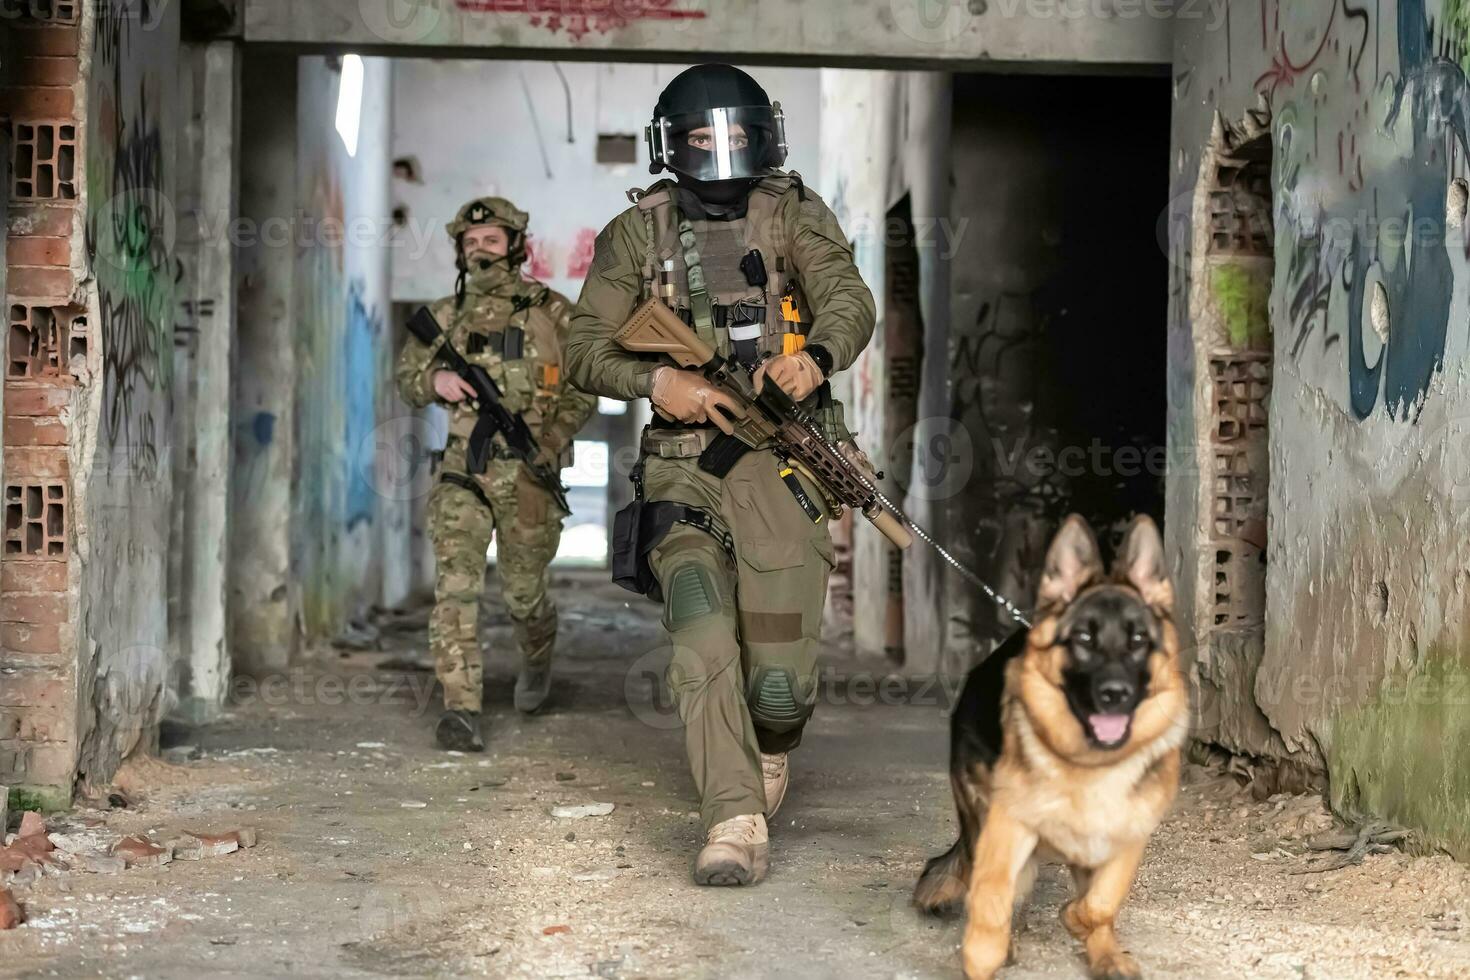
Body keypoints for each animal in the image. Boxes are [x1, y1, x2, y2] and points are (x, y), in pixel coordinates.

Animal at [911, 517, 1187, 975]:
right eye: (1083, 639)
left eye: (1137, 641)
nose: (1115, 694)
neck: (1091, 764)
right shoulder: (1009, 826)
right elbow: (993, 893)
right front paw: (984, 954)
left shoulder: (1126, 837)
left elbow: (1100, 902)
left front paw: (1085, 929)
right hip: (982, 817)